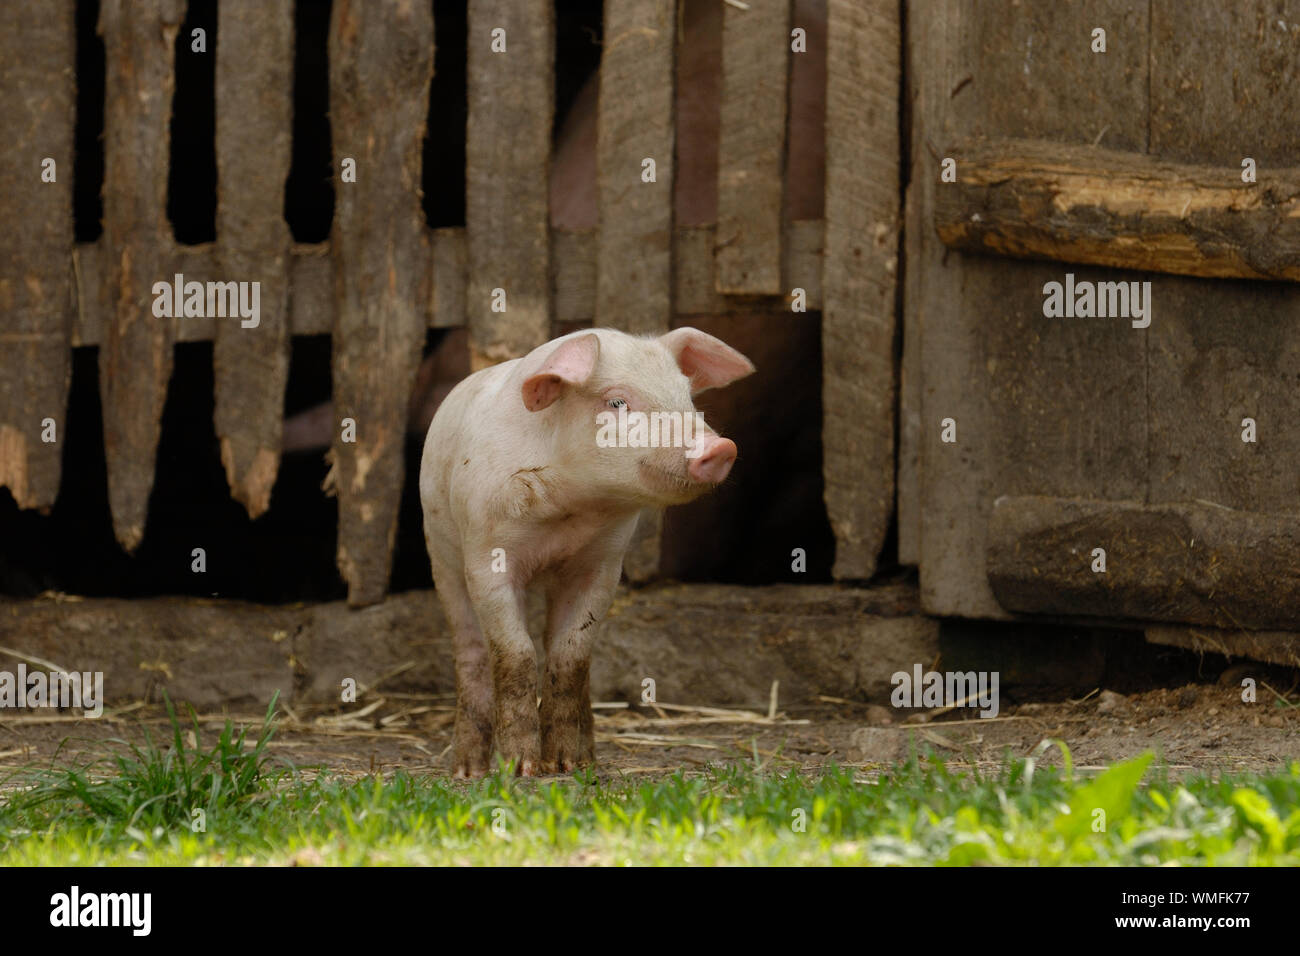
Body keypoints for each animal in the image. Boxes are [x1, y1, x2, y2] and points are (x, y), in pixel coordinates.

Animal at [418, 325, 754, 775]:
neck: (569, 510)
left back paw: (588, 759)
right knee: (471, 652)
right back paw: (468, 770)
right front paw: (521, 769)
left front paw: (563, 766)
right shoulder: (486, 554)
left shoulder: (602, 563)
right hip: (441, 557)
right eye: (617, 402)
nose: (720, 449)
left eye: (687, 397)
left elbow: (571, 655)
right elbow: (515, 653)